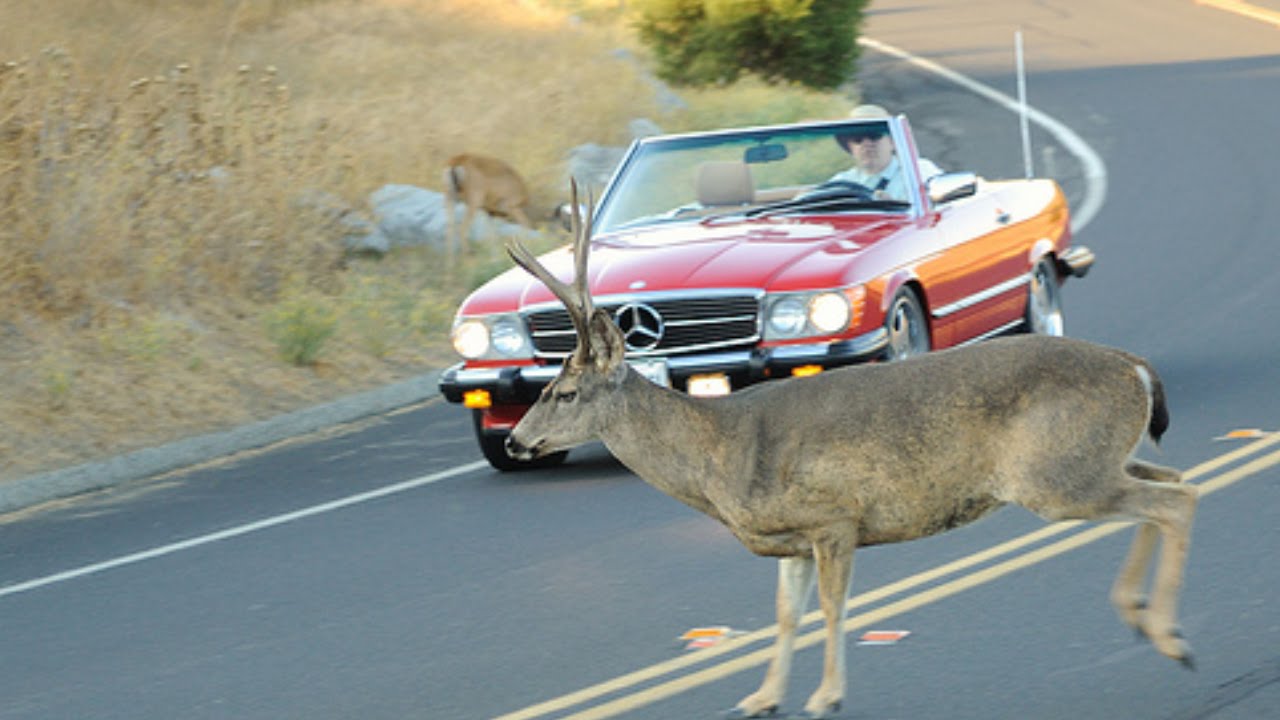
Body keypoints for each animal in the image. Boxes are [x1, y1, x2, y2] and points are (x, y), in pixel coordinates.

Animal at [503, 182, 1198, 719]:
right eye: (546, 389)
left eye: (564, 392)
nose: (515, 438)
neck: (720, 454)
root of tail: (1136, 367)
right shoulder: (790, 540)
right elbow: (786, 616)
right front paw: (761, 698)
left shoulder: (835, 518)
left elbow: (835, 610)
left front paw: (826, 695)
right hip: (1093, 459)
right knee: (1172, 480)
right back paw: (1141, 616)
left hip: (1055, 477)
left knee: (1175, 498)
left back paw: (1171, 638)